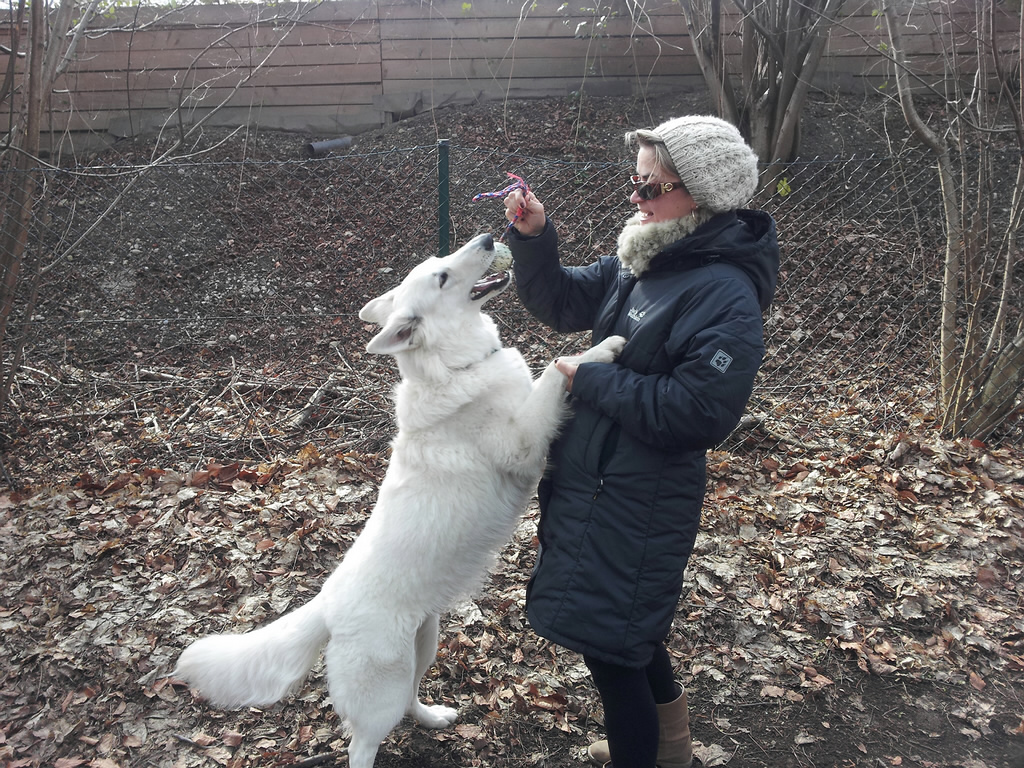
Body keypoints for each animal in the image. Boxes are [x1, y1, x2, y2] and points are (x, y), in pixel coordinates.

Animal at [174, 233, 626, 768]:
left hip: (424, 644)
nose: (488, 238)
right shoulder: (524, 442)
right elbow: (559, 373)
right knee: (362, 742)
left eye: (439, 262)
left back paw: (433, 718)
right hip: (383, 688)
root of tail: (326, 606)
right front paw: (601, 348)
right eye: (443, 277)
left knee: (412, 698)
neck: (453, 365)